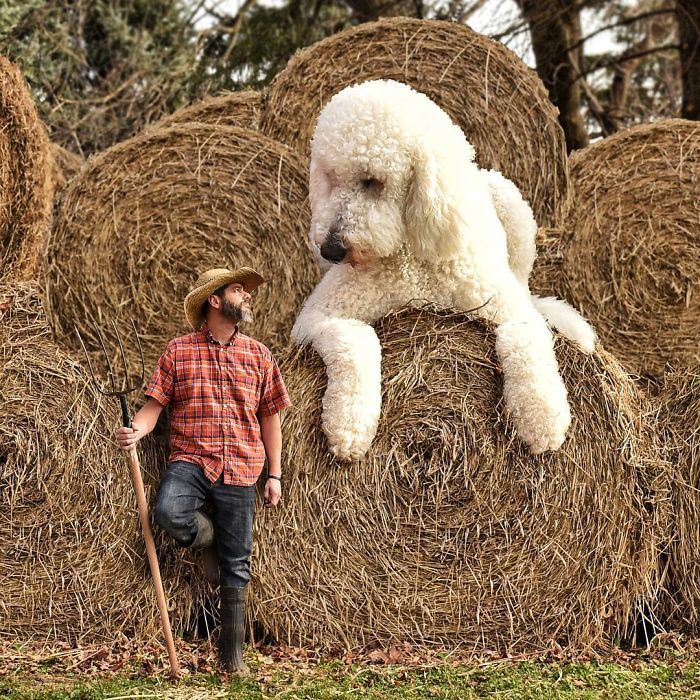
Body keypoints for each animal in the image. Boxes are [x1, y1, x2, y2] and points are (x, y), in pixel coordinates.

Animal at [292, 80, 596, 460]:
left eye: (373, 181)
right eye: (330, 178)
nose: (330, 250)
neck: (408, 257)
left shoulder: (509, 309)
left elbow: (525, 340)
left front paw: (542, 418)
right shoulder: (314, 320)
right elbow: (355, 339)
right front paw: (349, 424)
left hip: (512, 208)